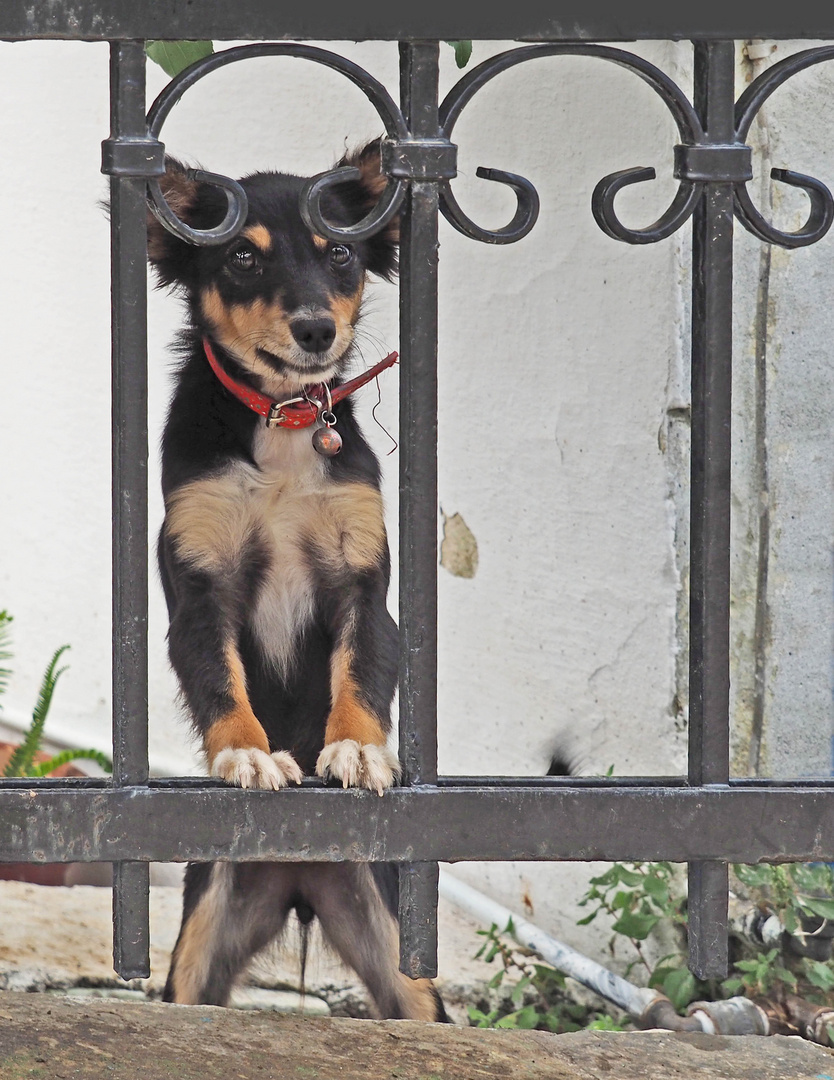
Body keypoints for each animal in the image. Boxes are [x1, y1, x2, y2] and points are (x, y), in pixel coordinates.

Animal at [146, 137, 447, 1019]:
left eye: (339, 254)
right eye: (243, 258)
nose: (316, 330)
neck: (284, 423)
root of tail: (299, 875)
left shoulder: (363, 588)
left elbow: (361, 674)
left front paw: (355, 750)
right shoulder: (199, 590)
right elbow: (222, 680)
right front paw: (249, 757)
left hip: (401, 957)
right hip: (201, 943)